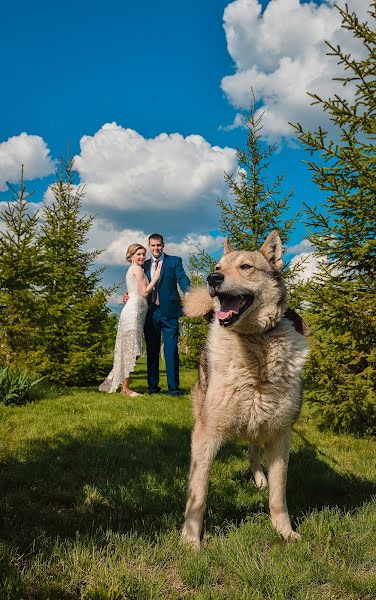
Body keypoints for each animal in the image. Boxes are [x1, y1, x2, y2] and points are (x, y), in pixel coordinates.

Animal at [181, 232, 308, 552]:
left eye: (246, 267)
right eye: (218, 266)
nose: (213, 278)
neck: (255, 344)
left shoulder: (280, 436)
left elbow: (278, 497)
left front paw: (285, 533)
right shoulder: (206, 435)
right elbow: (198, 494)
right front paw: (190, 541)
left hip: (260, 425)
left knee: (253, 451)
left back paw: (260, 479)